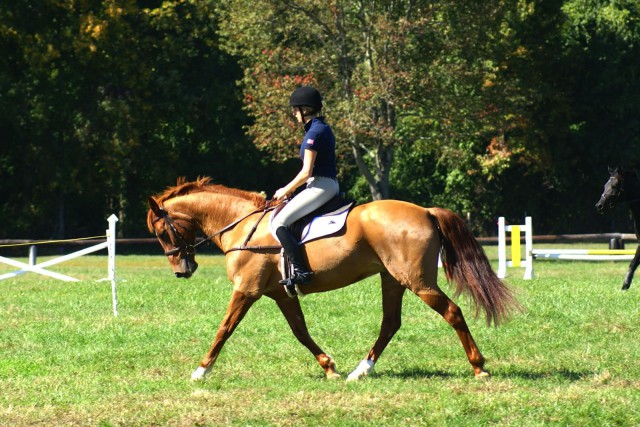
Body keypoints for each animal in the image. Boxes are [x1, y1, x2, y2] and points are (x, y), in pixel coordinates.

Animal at [149, 176, 520, 382]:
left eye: (162, 232)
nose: (182, 270)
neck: (242, 224)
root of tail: (426, 211)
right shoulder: (280, 294)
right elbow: (300, 331)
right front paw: (329, 367)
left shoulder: (247, 290)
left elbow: (224, 329)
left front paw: (200, 371)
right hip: (393, 279)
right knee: (390, 323)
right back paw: (360, 370)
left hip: (418, 282)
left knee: (452, 312)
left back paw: (479, 367)